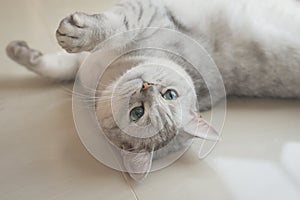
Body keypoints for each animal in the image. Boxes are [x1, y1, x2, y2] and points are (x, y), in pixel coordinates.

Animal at [4, 0, 300, 181]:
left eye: (137, 113)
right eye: (171, 94)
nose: (146, 87)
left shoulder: (152, 16)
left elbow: (119, 23)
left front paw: (79, 33)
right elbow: (58, 66)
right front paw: (19, 51)